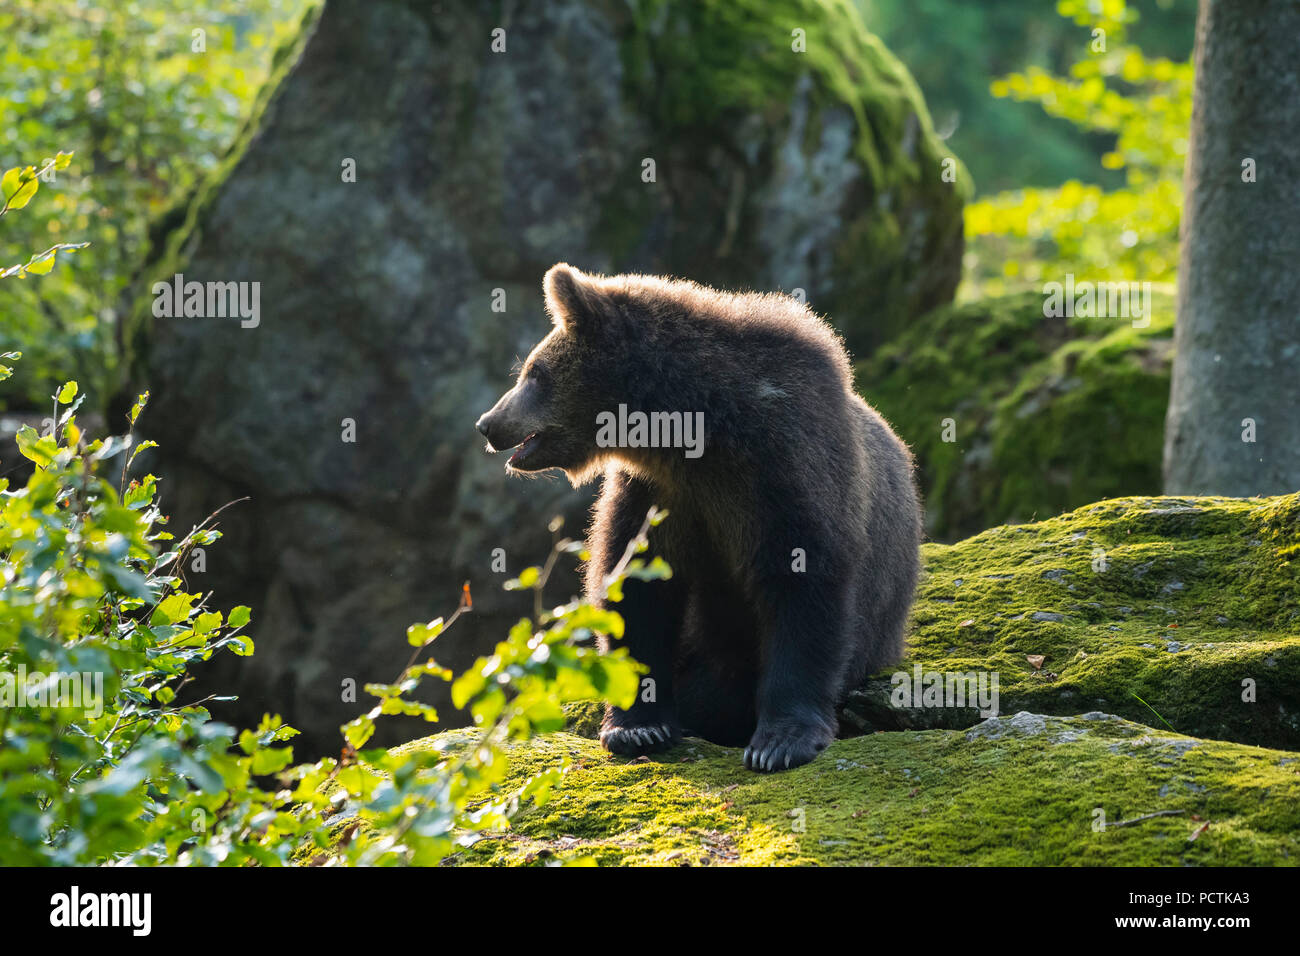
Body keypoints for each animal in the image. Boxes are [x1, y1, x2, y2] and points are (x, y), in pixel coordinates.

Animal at [475, 264, 921, 771]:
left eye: (535, 372)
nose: (488, 424)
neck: (698, 434)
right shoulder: (658, 493)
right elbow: (636, 588)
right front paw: (638, 727)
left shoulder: (787, 469)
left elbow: (806, 588)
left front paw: (779, 742)